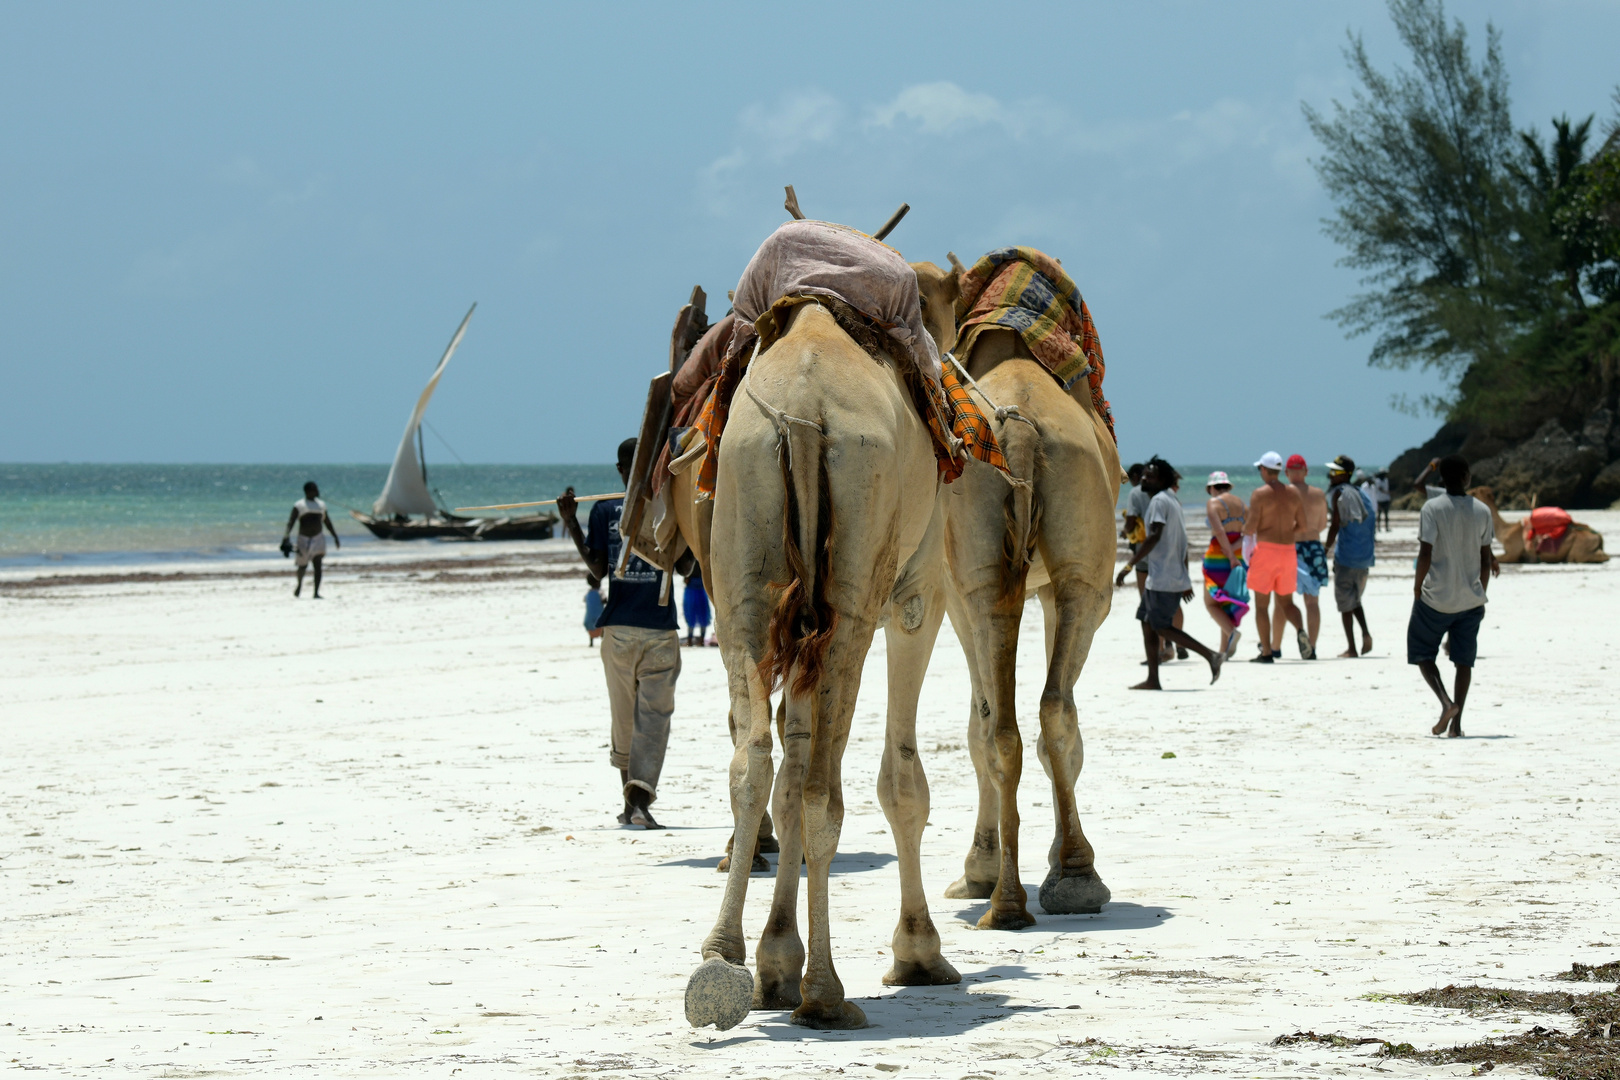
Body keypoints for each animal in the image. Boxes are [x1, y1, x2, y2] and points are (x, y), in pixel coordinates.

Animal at [683, 254, 959, 1029]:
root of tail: (804, 417)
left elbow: (784, 765)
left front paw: (775, 962)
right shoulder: (918, 596)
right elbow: (902, 781)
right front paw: (919, 954)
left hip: (746, 564)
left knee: (755, 763)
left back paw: (718, 963)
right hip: (855, 591)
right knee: (820, 792)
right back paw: (827, 992)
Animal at [933, 254, 1121, 932]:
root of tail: (1020, 433)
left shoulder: (960, 594)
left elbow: (981, 722)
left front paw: (977, 869)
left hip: (995, 573)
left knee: (1015, 721)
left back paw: (1013, 897)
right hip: (1077, 579)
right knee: (1046, 711)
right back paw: (1069, 880)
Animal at [1470, 488, 1607, 566]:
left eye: (1473, 491)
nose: (1466, 491)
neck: (1505, 532)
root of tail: (1598, 535)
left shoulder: (1512, 553)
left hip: (1579, 550)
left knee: (1580, 557)